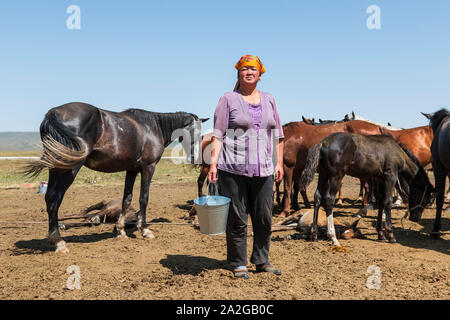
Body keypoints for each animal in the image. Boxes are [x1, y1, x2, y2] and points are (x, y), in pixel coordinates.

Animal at [27, 102, 210, 252]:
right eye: (196, 131)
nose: (195, 157)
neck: (153, 128)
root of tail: (53, 113)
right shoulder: (148, 168)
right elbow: (143, 198)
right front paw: (145, 230)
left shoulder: (131, 170)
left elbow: (126, 199)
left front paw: (121, 230)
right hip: (69, 168)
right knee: (54, 198)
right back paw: (58, 241)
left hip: (57, 168)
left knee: (50, 198)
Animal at [300, 132, 434, 245]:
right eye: (427, 200)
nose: (415, 218)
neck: (397, 152)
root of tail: (322, 143)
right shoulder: (390, 176)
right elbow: (388, 202)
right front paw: (391, 235)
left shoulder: (380, 179)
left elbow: (381, 202)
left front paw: (380, 234)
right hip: (336, 176)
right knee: (328, 199)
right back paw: (333, 237)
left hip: (323, 174)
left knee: (318, 197)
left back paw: (314, 234)